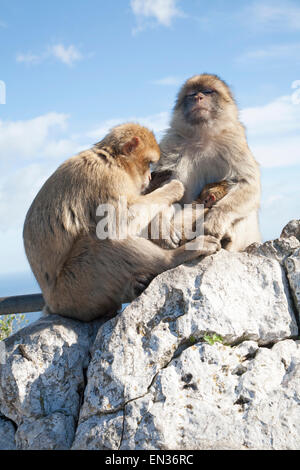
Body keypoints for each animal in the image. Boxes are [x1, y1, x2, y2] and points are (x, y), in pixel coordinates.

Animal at [23, 122, 220, 324]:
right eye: (148, 163)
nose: (150, 177)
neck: (113, 160)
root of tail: (52, 305)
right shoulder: (109, 179)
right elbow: (119, 224)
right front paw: (174, 187)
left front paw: (161, 225)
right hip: (76, 289)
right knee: (102, 239)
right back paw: (175, 257)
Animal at [149, 72, 262, 253]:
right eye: (191, 94)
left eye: (208, 91)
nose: (198, 97)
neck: (202, 135)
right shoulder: (172, 143)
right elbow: (168, 184)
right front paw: (161, 227)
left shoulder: (234, 140)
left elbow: (248, 183)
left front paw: (215, 219)